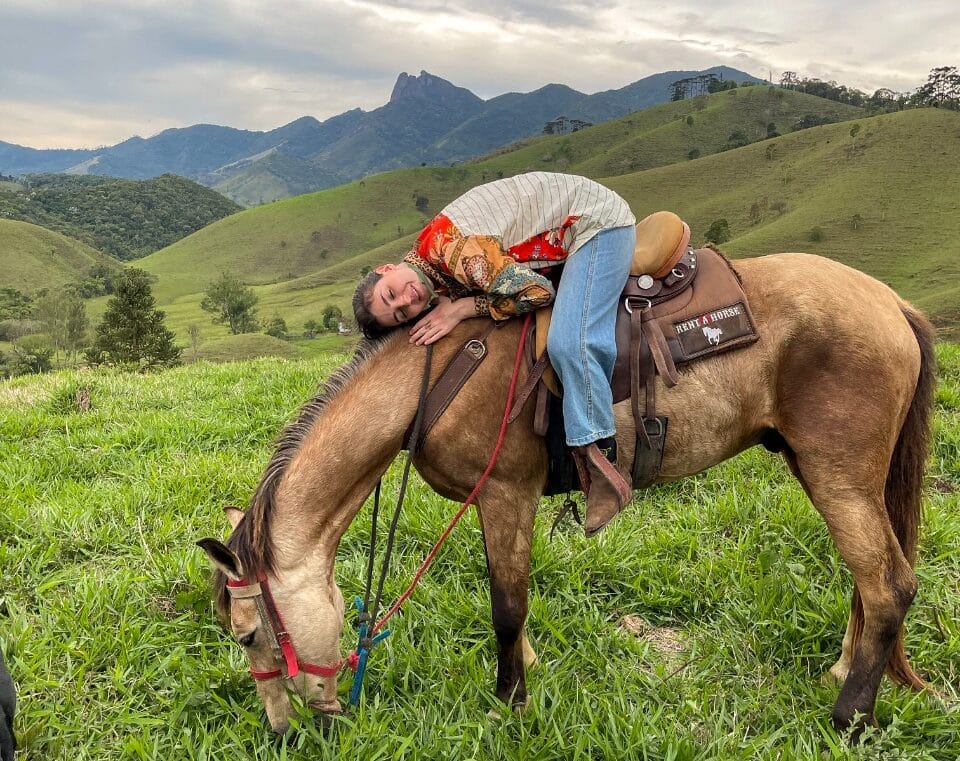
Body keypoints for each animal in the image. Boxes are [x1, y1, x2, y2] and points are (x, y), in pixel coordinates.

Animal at [197, 252, 936, 732]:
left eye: (248, 634)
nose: (284, 728)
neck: (436, 373)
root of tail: (890, 302)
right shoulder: (495, 503)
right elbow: (509, 599)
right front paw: (525, 674)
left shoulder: (505, 492)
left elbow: (506, 605)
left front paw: (510, 701)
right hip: (826, 472)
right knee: (868, 579)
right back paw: (842, 674)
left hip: (840, 476)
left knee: (888, 584)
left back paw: (849, 717)